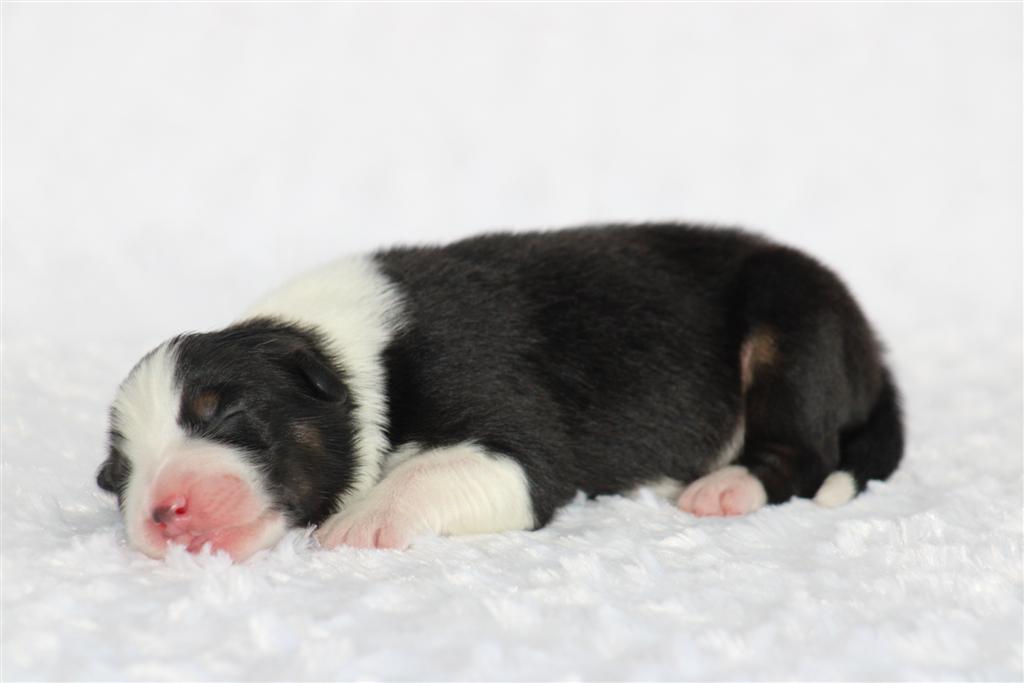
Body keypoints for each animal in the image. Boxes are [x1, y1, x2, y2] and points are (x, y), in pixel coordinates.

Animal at [97, 224, 904, 560]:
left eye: (226, 412)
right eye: (120, 473)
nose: (165, 511)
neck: (345, 353)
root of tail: (872, 345)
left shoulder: (508, 429)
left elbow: (445, 470)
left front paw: (362, 520)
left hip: (791, 321)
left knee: (805, 452)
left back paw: (725, 487)